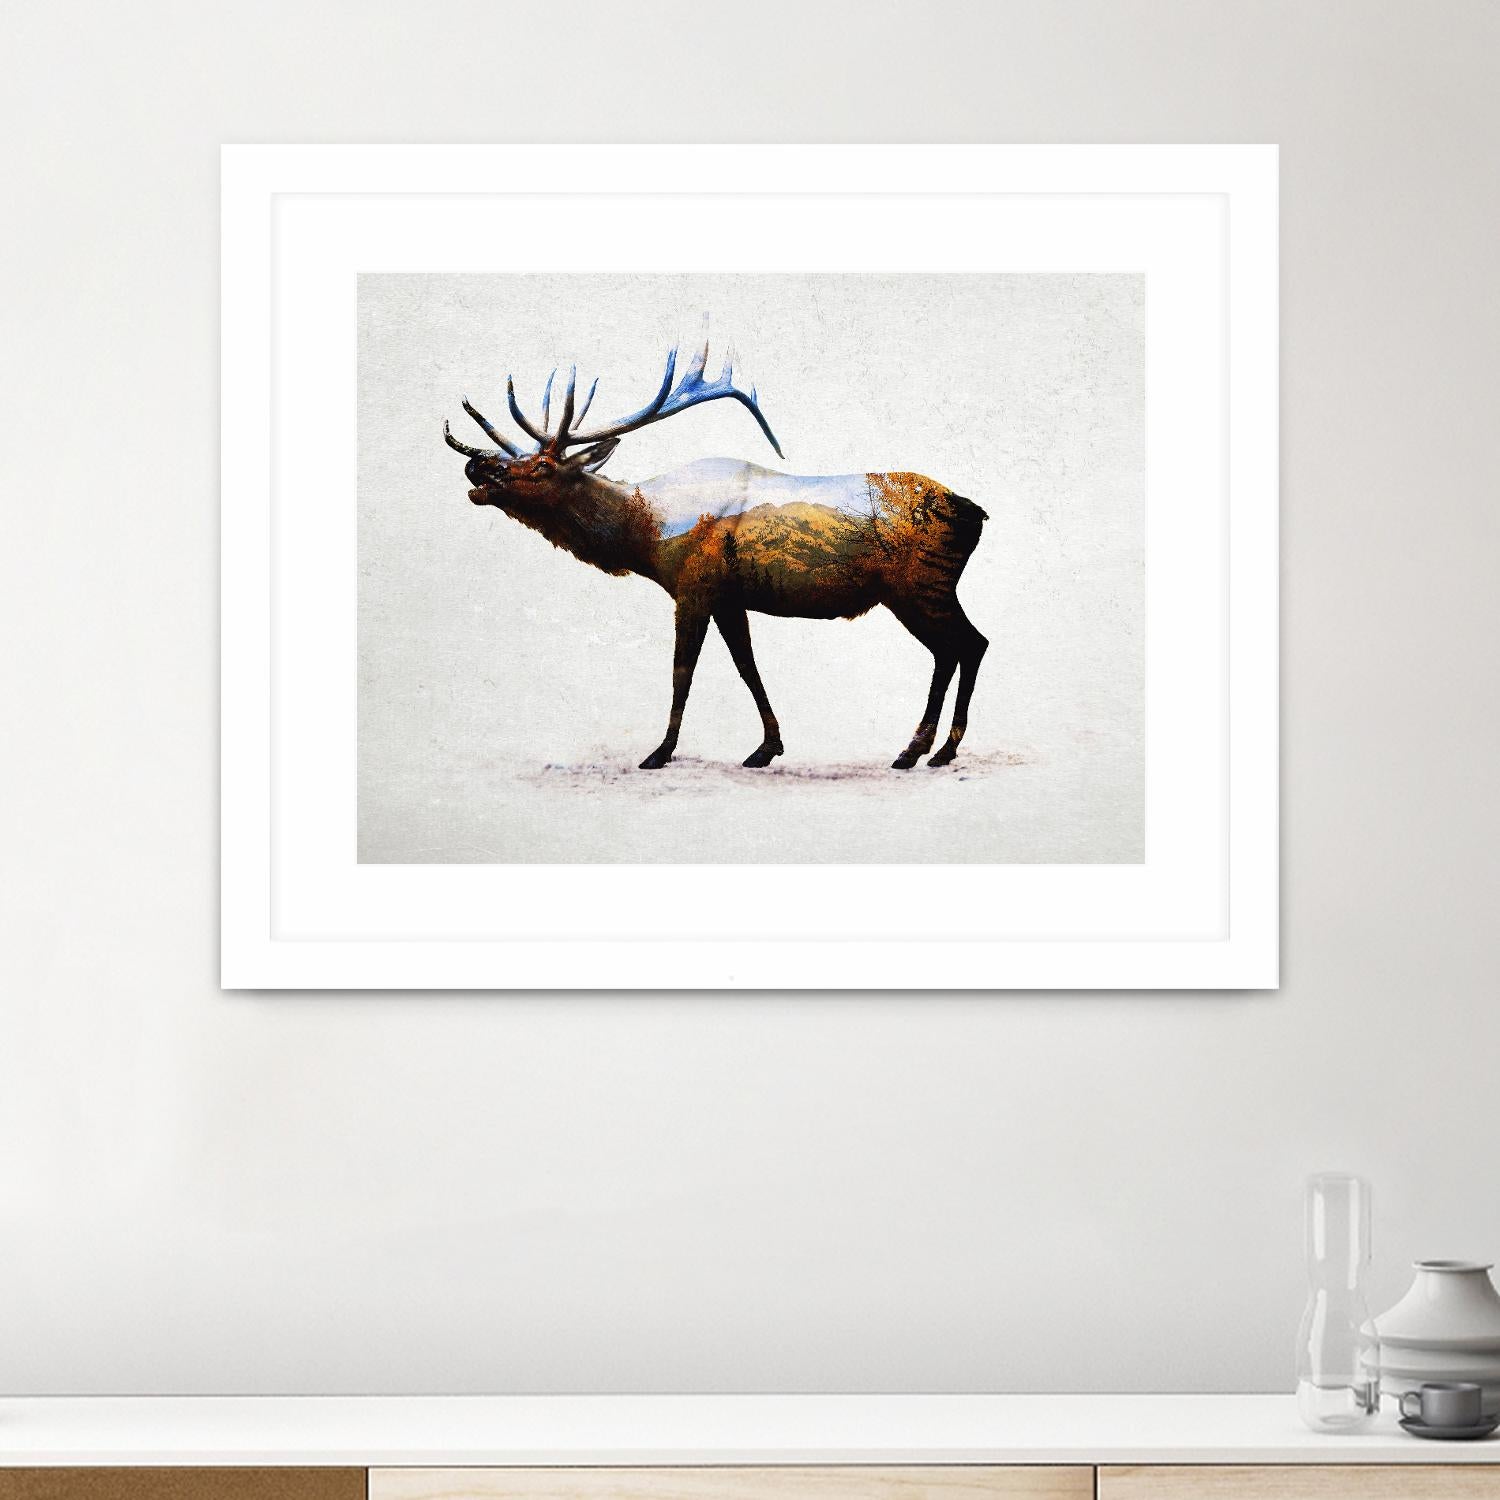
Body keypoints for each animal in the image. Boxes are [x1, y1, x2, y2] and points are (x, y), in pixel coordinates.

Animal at [444, 341, 989, 771]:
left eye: (540, 466)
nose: (477, 466)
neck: (646, 534)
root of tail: (976, 512)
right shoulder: (730, 598)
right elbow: (748, 667)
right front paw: (767, 747)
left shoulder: (693, 586)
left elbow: (682, 672)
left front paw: (659, 752)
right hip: (926, 589)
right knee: (963, 646)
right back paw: (932, 750)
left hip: (919, 585)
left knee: (964, 644)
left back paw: (923, 750)